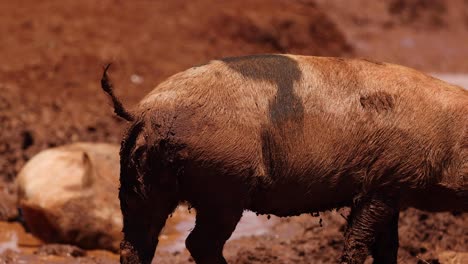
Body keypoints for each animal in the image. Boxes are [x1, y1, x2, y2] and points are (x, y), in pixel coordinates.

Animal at [100, 54, 466, 264]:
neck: (447, 135)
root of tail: (146, 112)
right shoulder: (385, 182)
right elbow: (360, 242)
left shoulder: (392, 188)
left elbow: (387, 246)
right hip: (224, 184)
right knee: (199, 242)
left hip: (139, 182)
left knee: (137, 241)